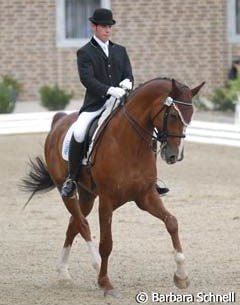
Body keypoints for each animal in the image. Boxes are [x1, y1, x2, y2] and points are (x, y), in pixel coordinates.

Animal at [22, 77, 204, 296]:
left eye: (190, 116)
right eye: (175, 115)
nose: (174, 156)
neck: (131, 144)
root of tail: (59, 120)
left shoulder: (145, 196)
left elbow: (172, 222)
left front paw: (181, 276)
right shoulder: (107, 200)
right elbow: (106, 243)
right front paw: (105, 283)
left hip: (87, 196)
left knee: (73, 225)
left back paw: (64, 274)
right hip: (66, 191)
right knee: (83, 225)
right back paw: (94, 266)